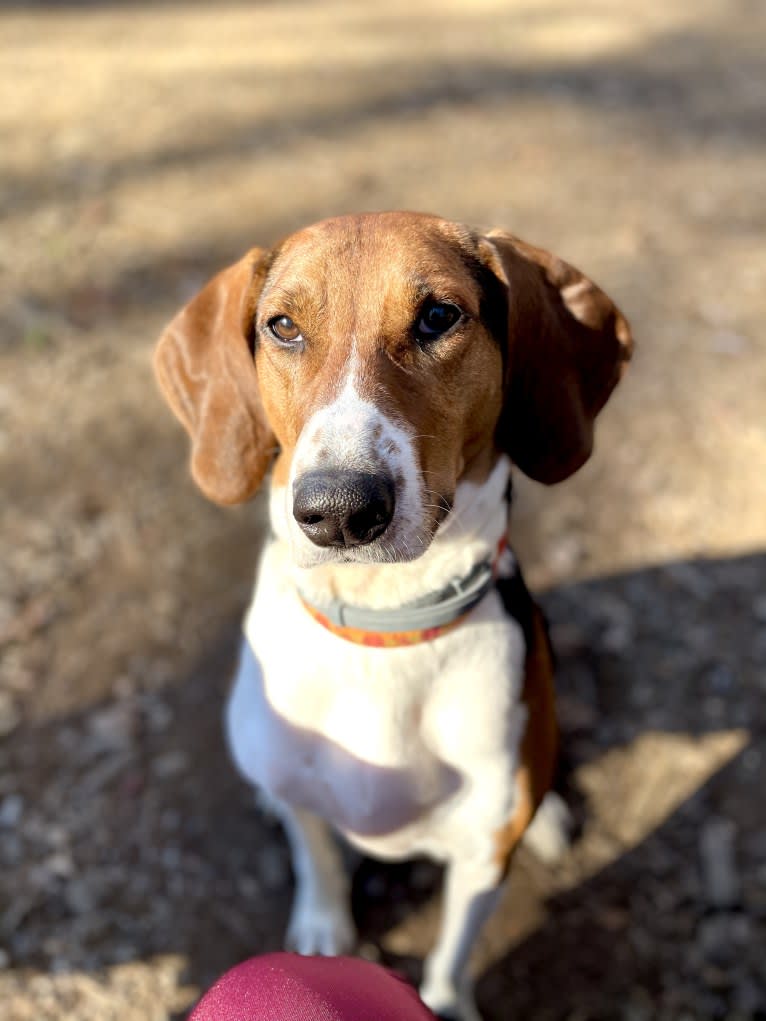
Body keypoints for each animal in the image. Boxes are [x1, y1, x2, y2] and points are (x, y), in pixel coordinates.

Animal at [153, 211, 633, 1016]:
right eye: (283, 326)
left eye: (439, 316)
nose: (340, 510)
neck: (381, 629)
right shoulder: (311, 813)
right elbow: (317, 859)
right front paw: (322, 933)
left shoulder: (480, 859)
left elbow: (450, 959)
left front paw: (444, 1001)